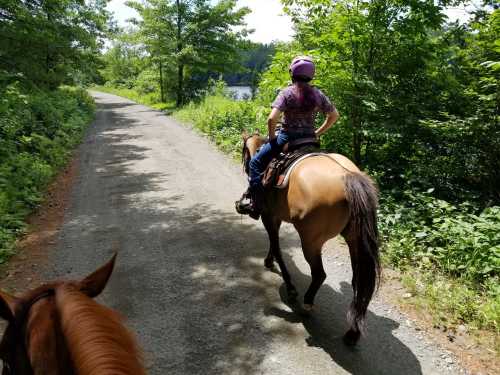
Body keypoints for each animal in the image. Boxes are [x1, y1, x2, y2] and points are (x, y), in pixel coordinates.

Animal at [241, 133, 378, 346]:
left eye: (244, 154)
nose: (246, 168)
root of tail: (348, 177)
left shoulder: (267, 215)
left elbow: (277, 246)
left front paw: (290, 287)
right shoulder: (275, 215)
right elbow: (274, 244)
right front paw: (269, 261)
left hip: (311, 241)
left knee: (320, 274)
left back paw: (307, 304)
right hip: (355, 240)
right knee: (359, 281)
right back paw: (352, 334)